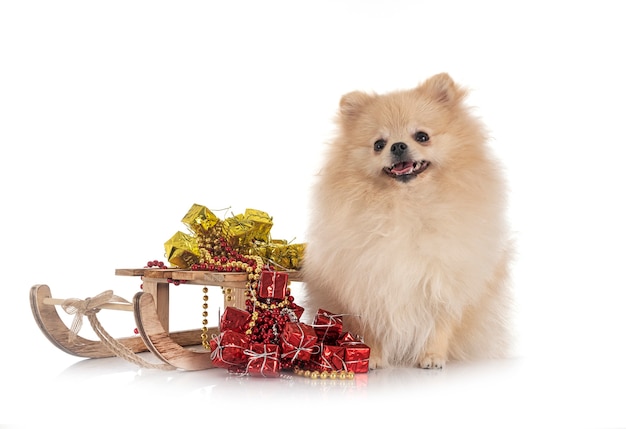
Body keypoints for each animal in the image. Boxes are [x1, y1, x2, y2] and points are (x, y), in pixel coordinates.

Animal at [300, 72, 510, 368]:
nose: (398, 146)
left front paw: (432, 356)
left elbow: (440, 325)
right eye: (378, 144)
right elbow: (371, 327)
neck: (406, 205)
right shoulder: (369, 283)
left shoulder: (445, 281)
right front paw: (372, 357)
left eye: (422, 136)